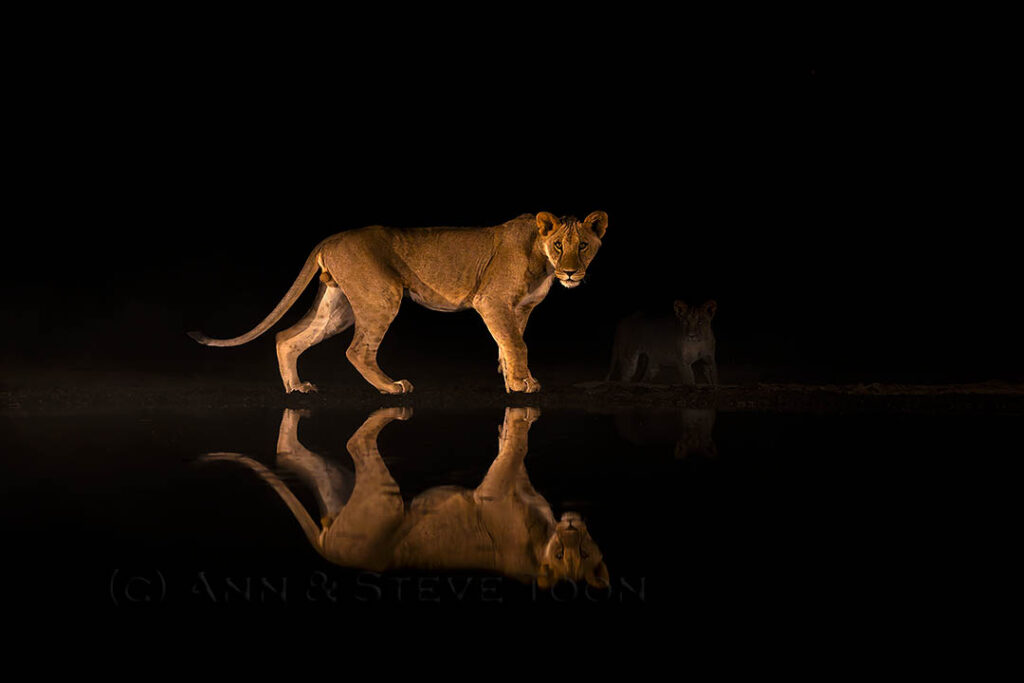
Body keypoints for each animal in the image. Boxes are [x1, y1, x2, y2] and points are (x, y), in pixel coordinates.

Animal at [189, 211, 609, 394]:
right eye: (559, 245)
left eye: (584, 246)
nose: (571, 273)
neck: (543, 260)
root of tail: (331, 237)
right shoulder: (492, 301)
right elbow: (516, 344)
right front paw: (524, 386)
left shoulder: (519, 309)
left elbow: (508, 345)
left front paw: (515, 380)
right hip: (382, 295)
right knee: (357, 351)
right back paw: (392, 388)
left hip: (338, 306)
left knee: (286, 338)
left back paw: (296, 389)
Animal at [200, 407, 609, 590]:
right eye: (561, 555)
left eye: (583, 552)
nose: (572, 527)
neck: (544, 536)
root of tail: (330, 552)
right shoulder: (493, 494)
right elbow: (510, 456)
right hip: (386, 500)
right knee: (358, 445)